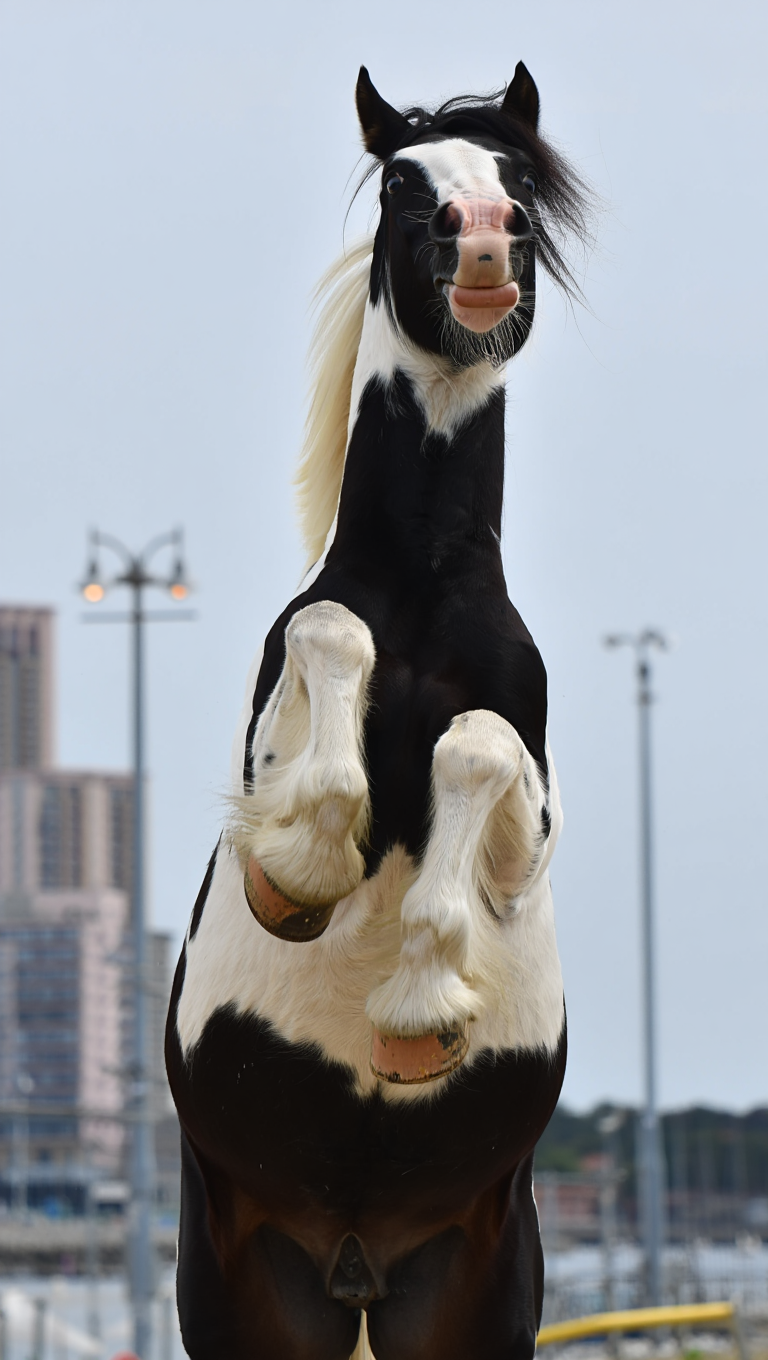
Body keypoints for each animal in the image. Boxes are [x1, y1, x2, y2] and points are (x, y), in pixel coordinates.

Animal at [166, 61, 591, 1360]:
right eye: (408, 182)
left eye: (516, 182)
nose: (489, 241)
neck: (423, 587)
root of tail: (356, 1255)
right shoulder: (276, 729)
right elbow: (330, 636)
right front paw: (305, 866)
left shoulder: (528, 828)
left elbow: (478, 745)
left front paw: (418, 1009)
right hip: (248, 1294)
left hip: (468, 1295)